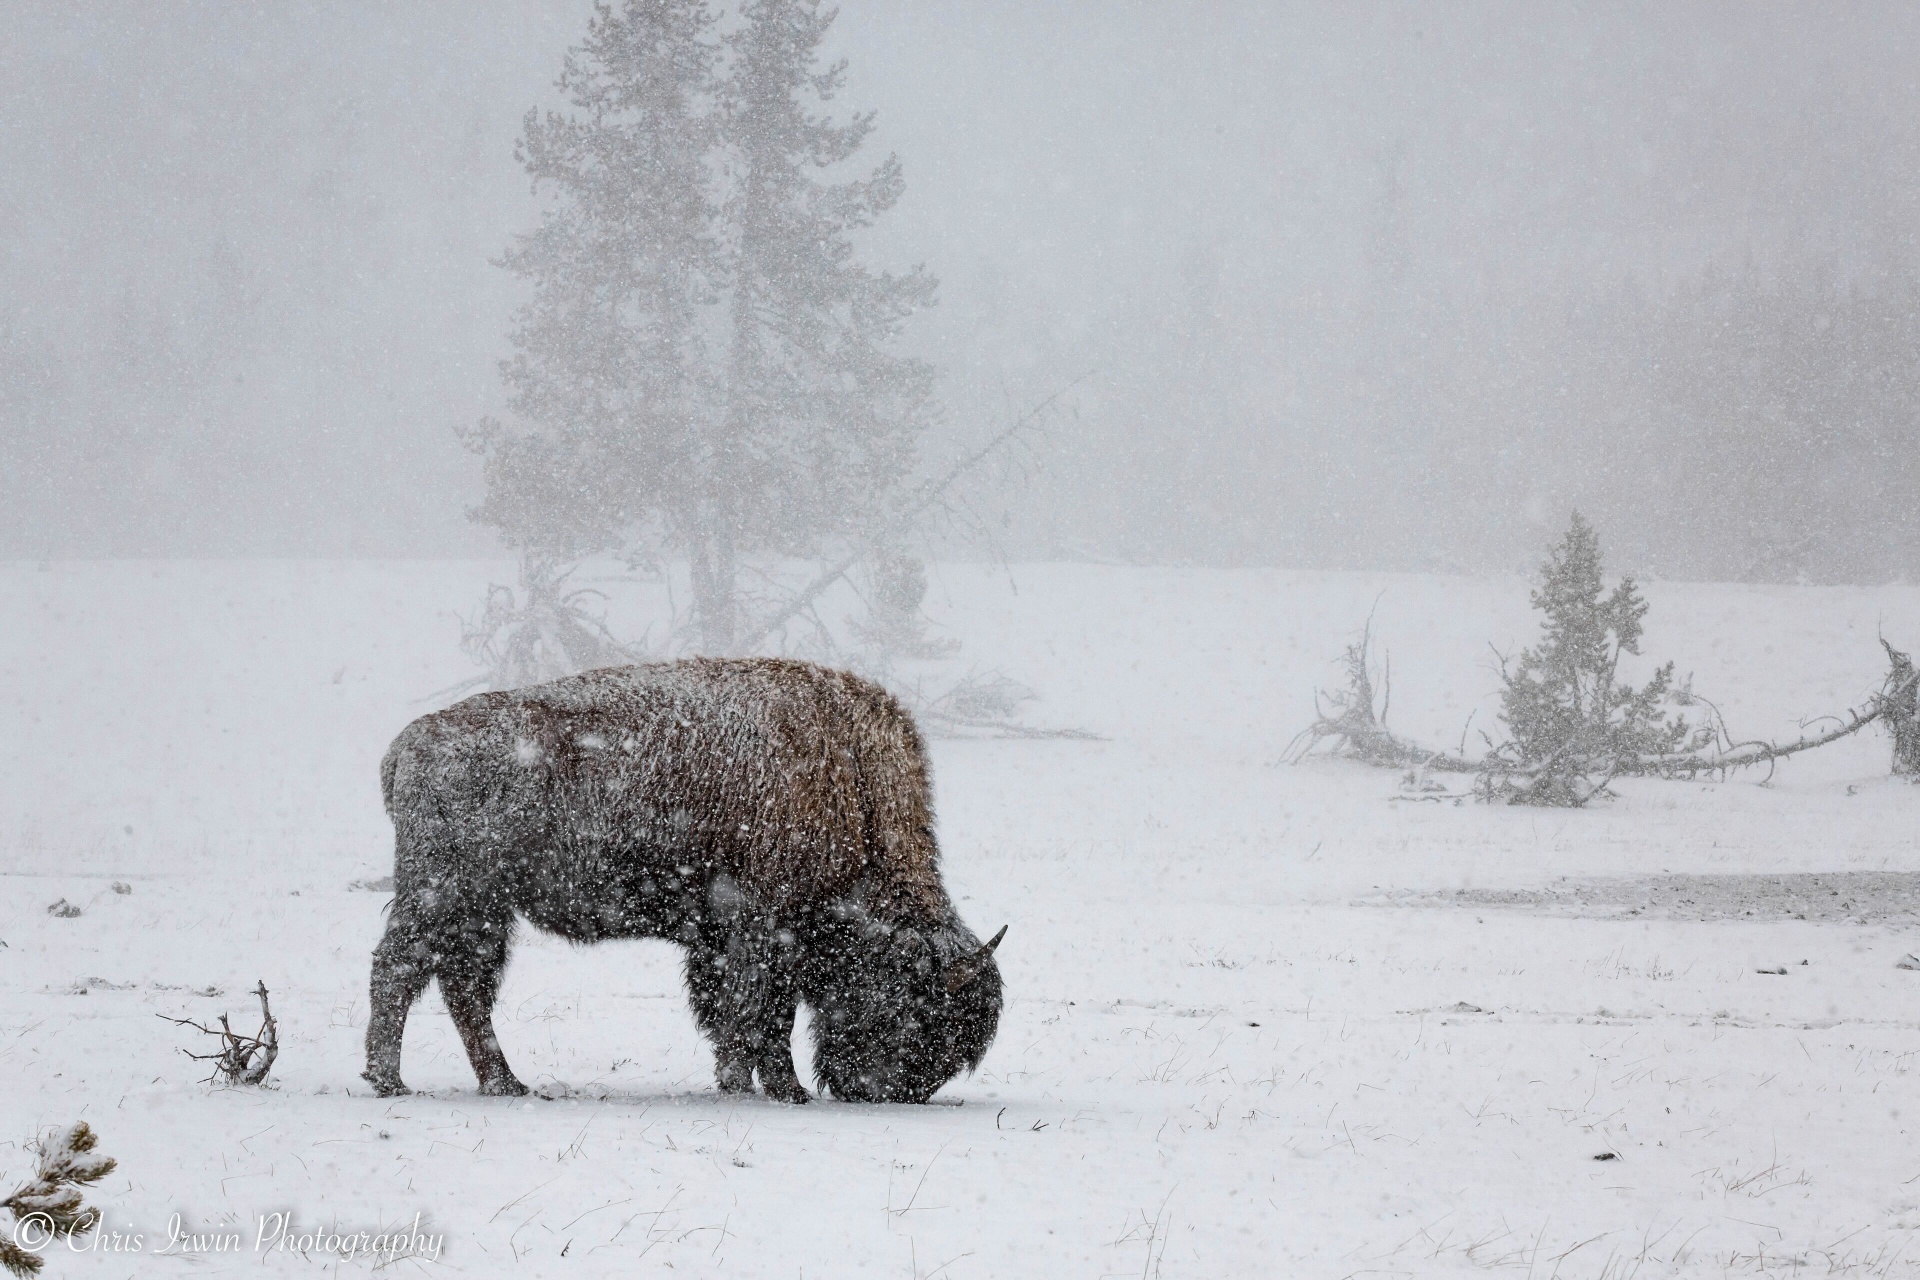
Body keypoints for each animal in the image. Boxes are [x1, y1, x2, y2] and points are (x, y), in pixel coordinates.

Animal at [362, 658, 1005, 1103]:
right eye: (919, 1016)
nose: (878, 1092)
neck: (848, 781)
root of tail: (407, 744)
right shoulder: (765, 932)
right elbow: (759, 1015)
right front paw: (770, 1088)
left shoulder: (737, 940)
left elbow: (747, 1015)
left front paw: (757, 1083)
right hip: (445, 892)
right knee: (401, 969)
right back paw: (389, 1080)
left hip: (484, 909)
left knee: (462, 985)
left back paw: (504, 1084)